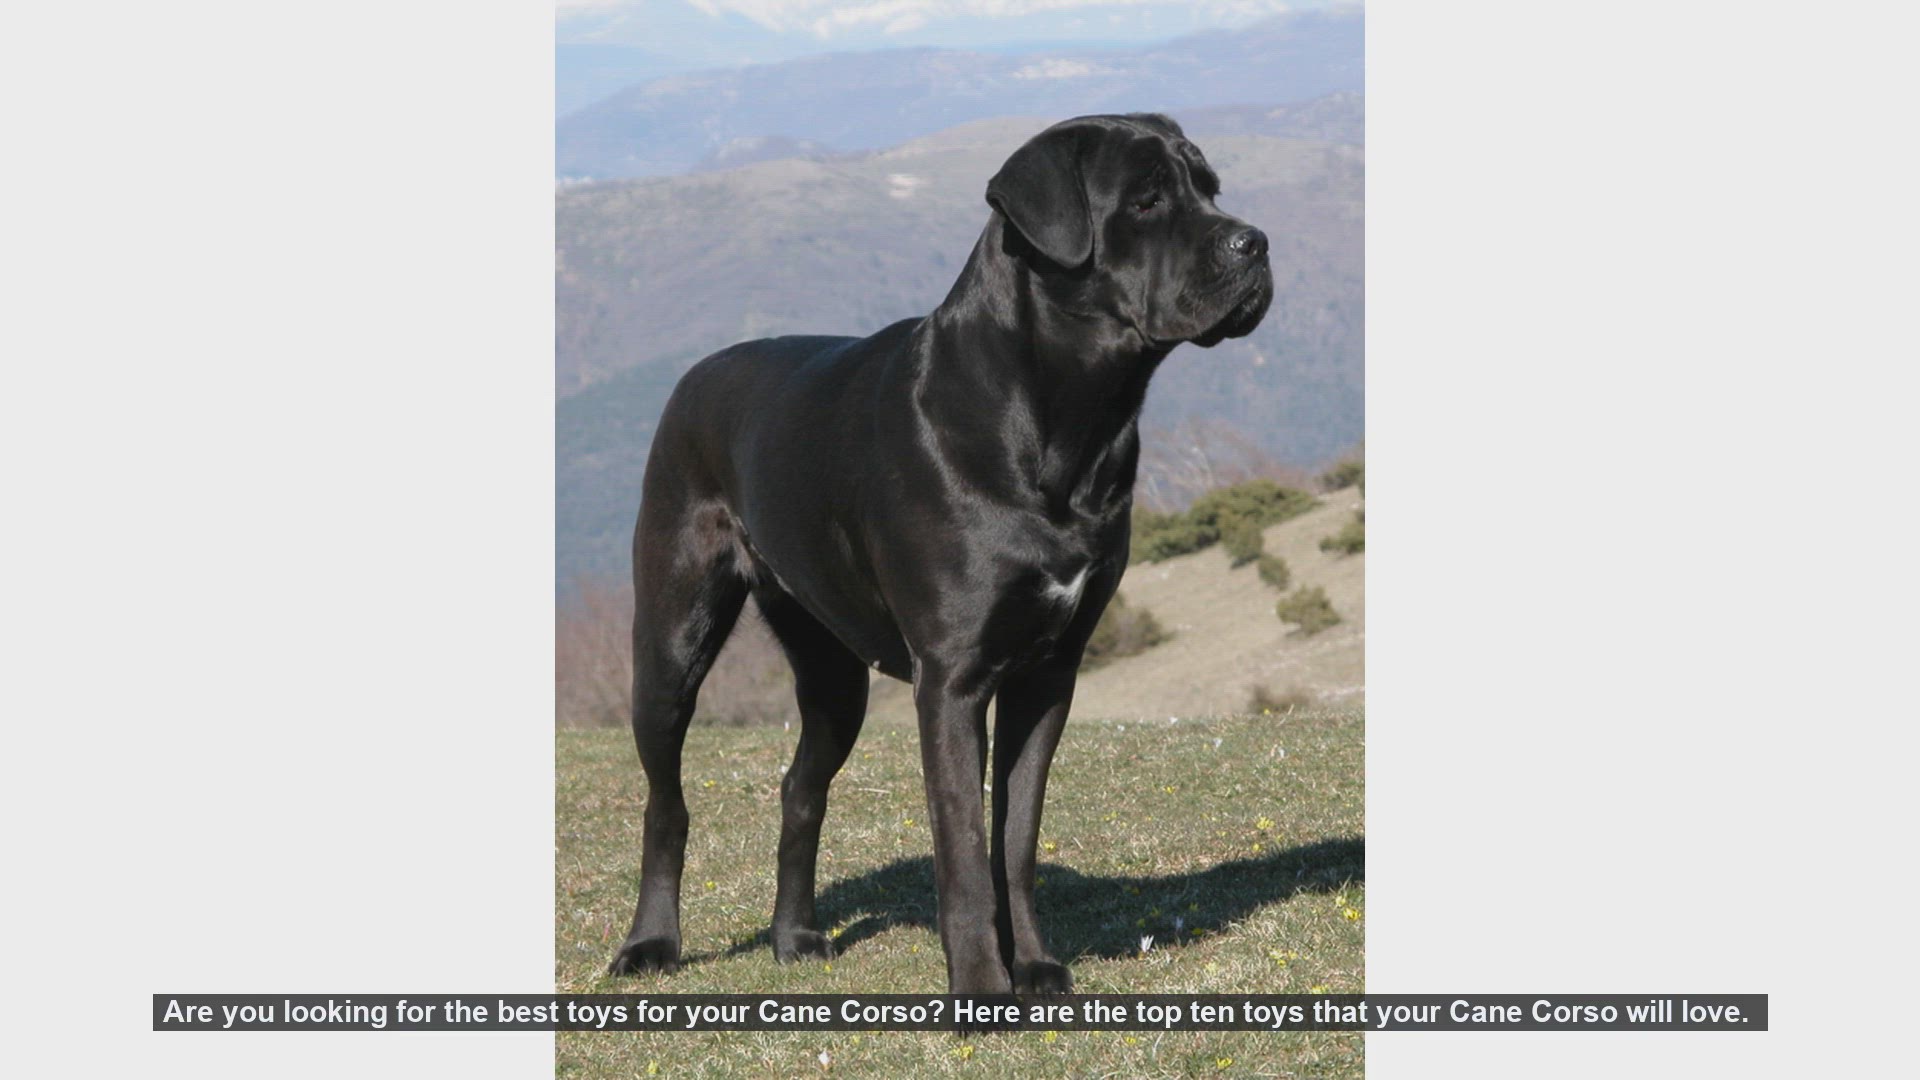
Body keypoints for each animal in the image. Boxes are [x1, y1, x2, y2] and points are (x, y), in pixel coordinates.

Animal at [608, 113, 1272, 994]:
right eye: (1147, 199)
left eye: (1212, 189)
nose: (1256, 243)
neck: (1066, 420)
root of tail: (693, 376)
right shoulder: (952, 679)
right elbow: (961, 847)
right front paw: (981, 989)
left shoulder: (1048, 675)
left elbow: (1014, 840)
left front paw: (1034, 964)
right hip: (671, 640)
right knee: (665, 800)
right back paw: (651, 943)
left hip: (833, 673)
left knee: (799, 788)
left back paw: (797, 936)